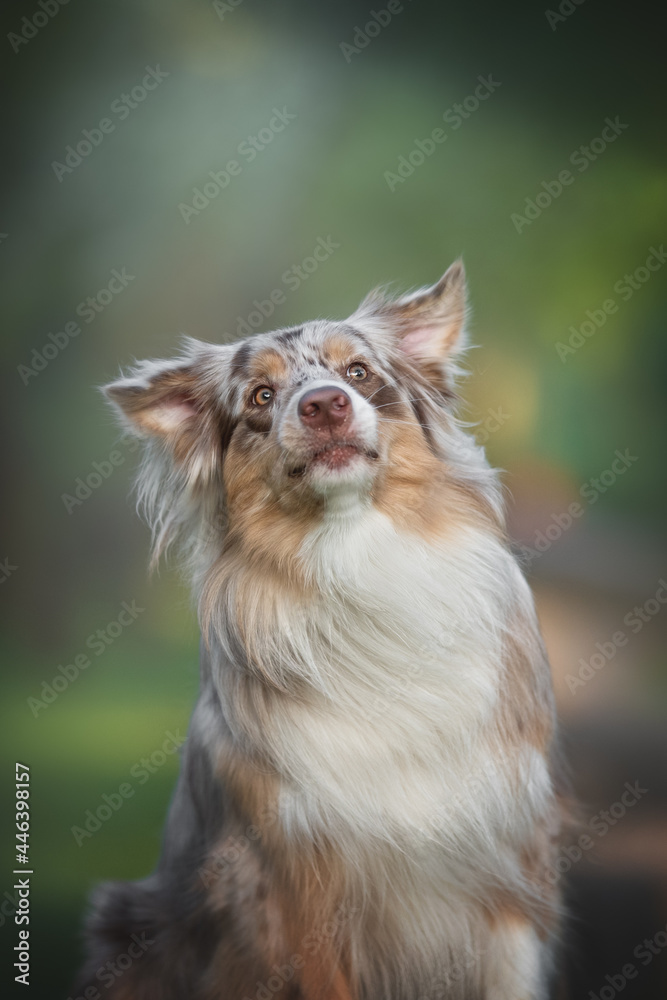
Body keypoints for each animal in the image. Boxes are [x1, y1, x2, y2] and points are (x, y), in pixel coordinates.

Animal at [77, 264, 568, 1000]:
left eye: (359, 372)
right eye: (261, 395)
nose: (325, 405)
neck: (355, 553)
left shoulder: (507, 863)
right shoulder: (295, 890)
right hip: (128, 923)